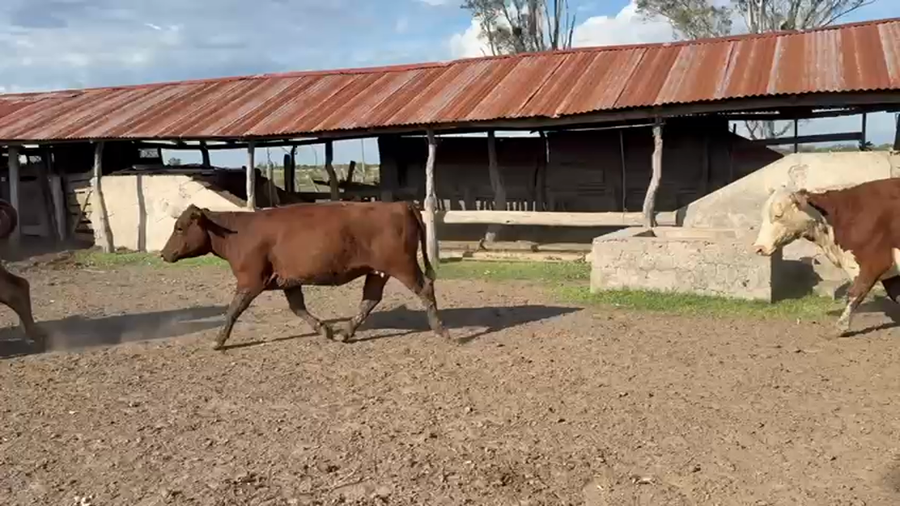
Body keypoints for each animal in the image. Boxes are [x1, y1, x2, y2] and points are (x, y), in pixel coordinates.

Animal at [160, 201, 451, 350]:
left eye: (180, 227)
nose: (163, 254)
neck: (238, 232)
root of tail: (401, 204)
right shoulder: (288, 281)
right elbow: (298, 307)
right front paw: (325, 329)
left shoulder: (250, 280)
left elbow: (233, 309)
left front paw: (219, 340)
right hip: (378, 271)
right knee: (370, 299)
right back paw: (345, 333)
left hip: (402, 265)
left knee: (425, 288)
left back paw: (441, 330)